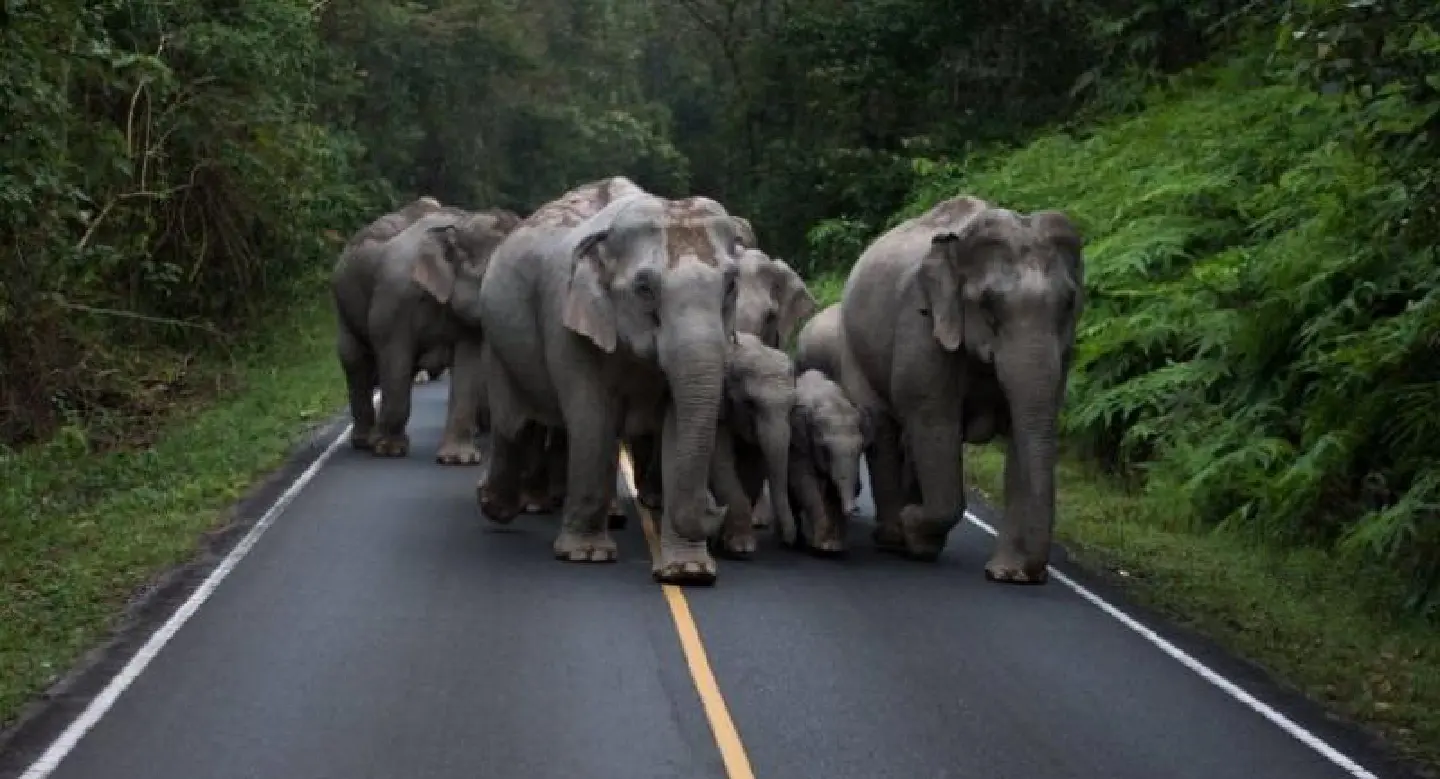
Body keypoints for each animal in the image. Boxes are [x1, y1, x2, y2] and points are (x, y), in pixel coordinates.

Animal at [332, 200, 521, 461]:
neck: (460, 224)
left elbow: (468, 363)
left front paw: (458, 459)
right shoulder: (394, 299)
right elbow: (395, 358)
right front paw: (389, 450)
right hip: (343, 308)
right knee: (356, 361)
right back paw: (365, 441)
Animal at [475, 176, 750, 585]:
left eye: (731, 285)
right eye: (644, 288)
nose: (716, 508)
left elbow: (675, 427)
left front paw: (688, 572)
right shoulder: (566, 321)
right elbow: (592, 419)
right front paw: (586, 556)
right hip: (497, 340)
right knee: (514, 425)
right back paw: (493, 505)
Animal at [708, 332, 798, 557]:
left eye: (792, 406)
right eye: (750, 404)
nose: (789, 542)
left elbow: (753, 469)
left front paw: (726, 542)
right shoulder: (718, 407)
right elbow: (720, 464)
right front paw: (741, 547)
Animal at [835, 194, 1084, 583]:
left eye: (1069, 304)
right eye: (989, 306)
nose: (1034, 575)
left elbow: (1024, 433)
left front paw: (1004, 574)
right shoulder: (921, 324)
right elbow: (934, 421)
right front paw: (915, 528)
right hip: (856, 352)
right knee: (886, 427)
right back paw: (893, 537)